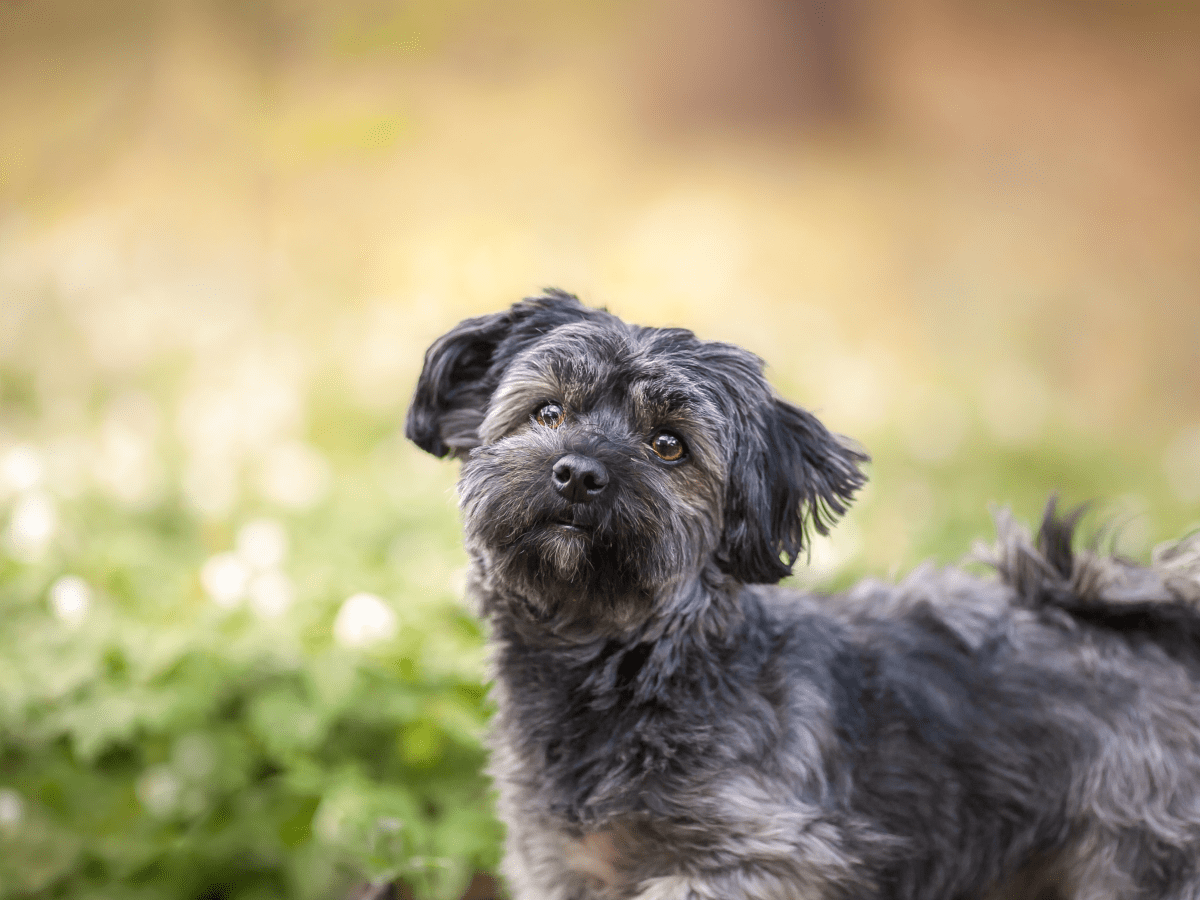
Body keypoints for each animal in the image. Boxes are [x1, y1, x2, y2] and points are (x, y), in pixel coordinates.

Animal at [403, 292, 1200, 897]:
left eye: (669, 445)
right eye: (547, 413)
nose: (577, 473)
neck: (622, 668)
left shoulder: (762, 853)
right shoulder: (564, 864)